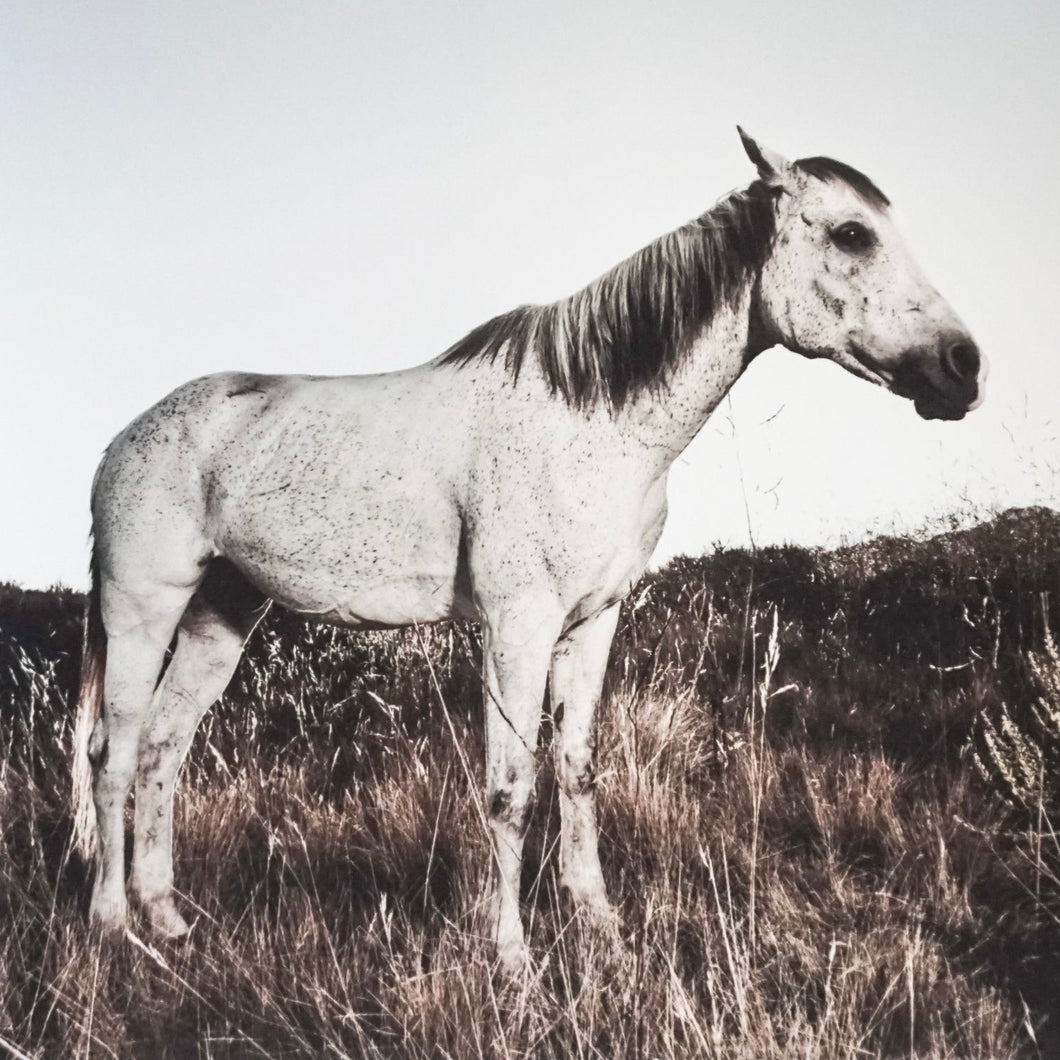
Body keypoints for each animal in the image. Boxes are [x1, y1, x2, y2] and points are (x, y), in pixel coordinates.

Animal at [72, 128, 983, 970]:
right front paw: (510, 954)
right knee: (112, 754)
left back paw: (169, 920)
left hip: (221, 614)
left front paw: (600, 924)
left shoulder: (592, 622)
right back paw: (113, 924)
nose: (963, 367)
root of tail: (126, 438)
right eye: (852, 234)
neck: (595, 417)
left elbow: (575, 769)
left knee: (161, 749)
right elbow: (511, 787)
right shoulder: (518, 625)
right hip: (142, 608)